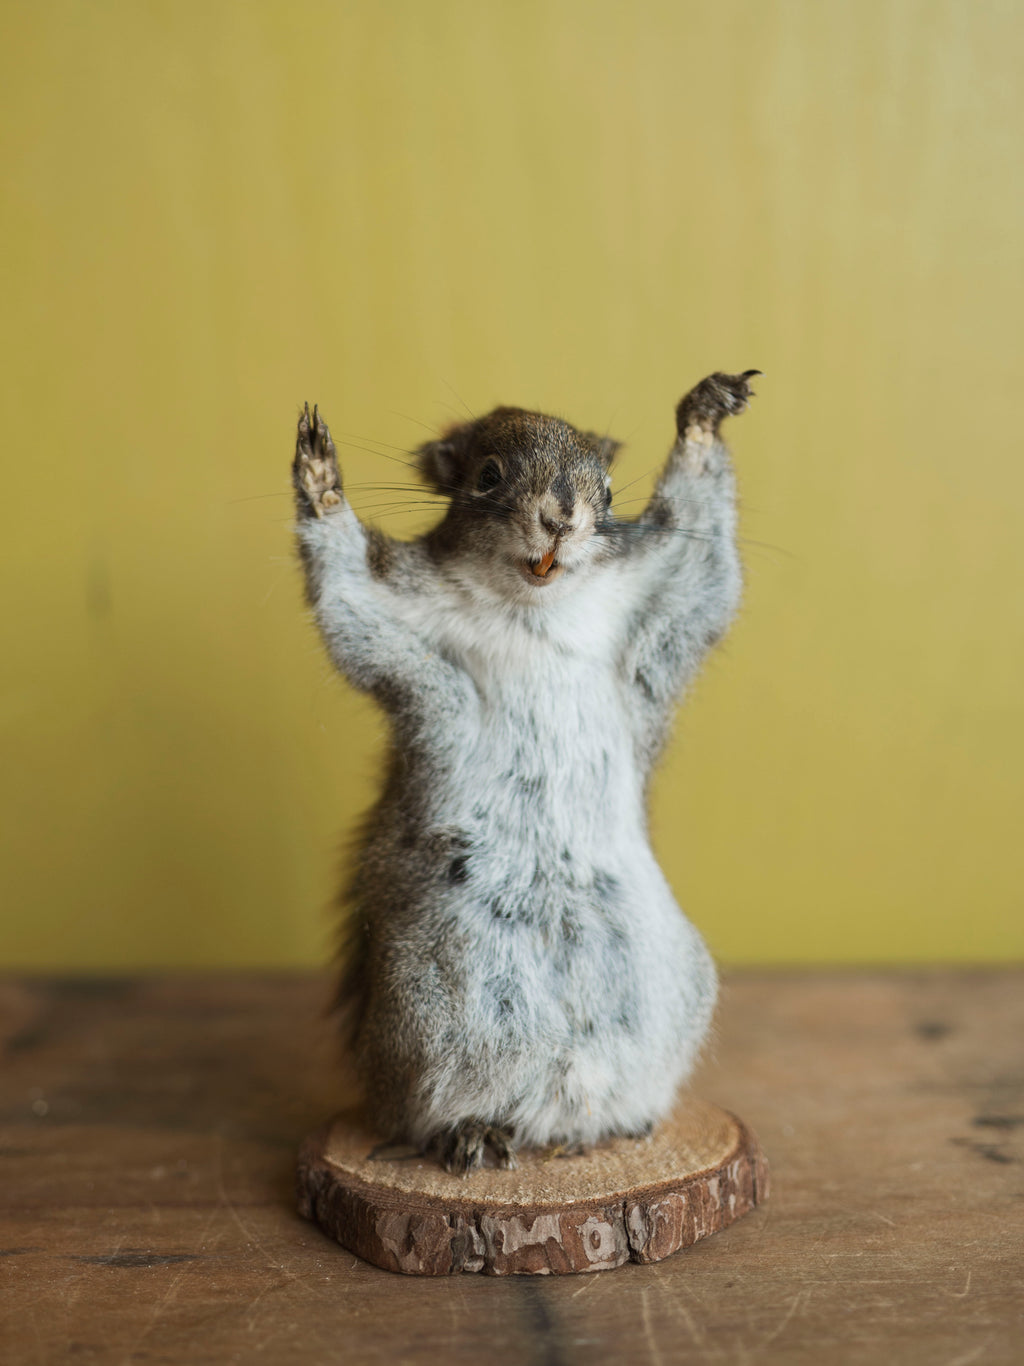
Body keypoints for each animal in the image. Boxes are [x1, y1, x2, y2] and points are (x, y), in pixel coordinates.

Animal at [292, 370, 758, 1174]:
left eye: (608, 490)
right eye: (488, 476)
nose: (562, 520)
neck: (533, 604)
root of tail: (548, 1100)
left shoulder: (658, 592)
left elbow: (703, 563)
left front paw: (703, 420)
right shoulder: (399, 615)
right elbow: (349, 592)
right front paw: (321, 478)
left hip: (670, 985)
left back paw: (615, 1123)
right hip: (422, 1004)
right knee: (430, 1103)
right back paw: (470, 1131)